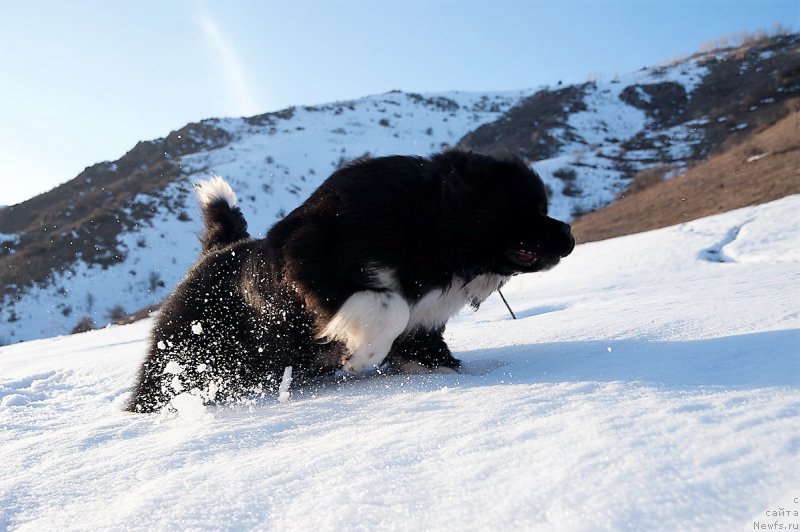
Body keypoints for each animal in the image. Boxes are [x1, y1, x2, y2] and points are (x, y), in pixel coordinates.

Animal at [125, 150, 576, 412]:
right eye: (529, 208)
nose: (570, 235)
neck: (432, 224)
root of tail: (218, 248)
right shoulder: (314, 266)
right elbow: (390, 307)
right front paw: (358, 357)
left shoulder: (426, 318)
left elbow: (420, 339)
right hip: (188, 347)